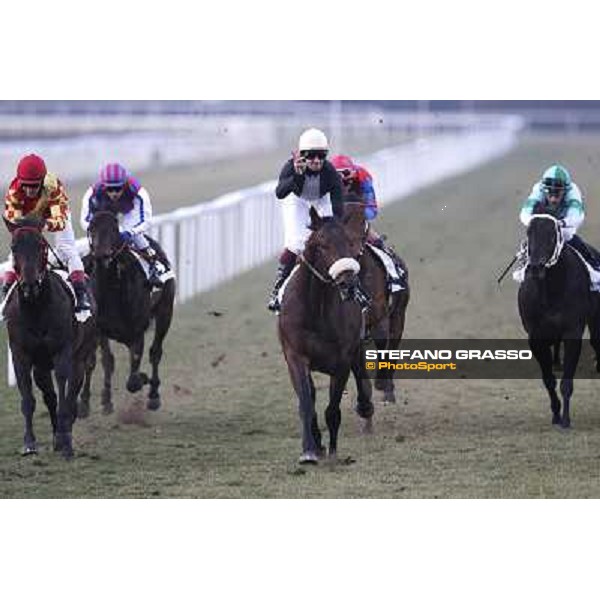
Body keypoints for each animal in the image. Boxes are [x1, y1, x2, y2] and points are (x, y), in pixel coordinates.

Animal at [2, 218, 96, 458]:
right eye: (14, 247)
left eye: (41, 246)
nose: (30, 284)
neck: (36, 310)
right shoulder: (21, 355)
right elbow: (29, 400)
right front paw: (29, 443)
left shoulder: (62, 353)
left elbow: (64, 395)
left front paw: (66, 443)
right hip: (41, 367)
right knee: (50, 397)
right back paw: (57, 436)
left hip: (79, 357)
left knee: (71, 394)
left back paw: (64, 435)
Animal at [278, 206, 372, 464]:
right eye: (322, 244)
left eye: (350, 243)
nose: (348, 283)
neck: (315, 309)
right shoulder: (295, 356)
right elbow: (306, 403)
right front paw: (309, 450)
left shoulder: (342, 360)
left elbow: (332, 409)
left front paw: (333, 451)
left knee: (362, 379)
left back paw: (365, 408)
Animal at [342, 202, 412, 404]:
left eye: (361, 223)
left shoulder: (381, 314)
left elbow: (382, 340)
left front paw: (382, 384)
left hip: (399, 313)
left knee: (393, 341)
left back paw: (388, 387)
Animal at [516, 213, 600, 428]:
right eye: (529, 232)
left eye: (553, 235)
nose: (535, 267)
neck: (551, 289)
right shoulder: (536, 336)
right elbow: (548, 380)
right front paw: (555, 413)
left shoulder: (573, 331)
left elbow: (566, 382)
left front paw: (566, 419)